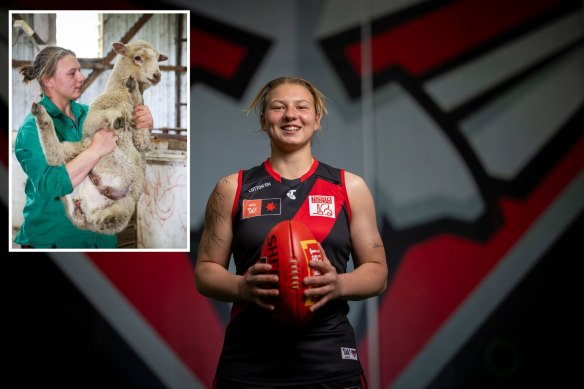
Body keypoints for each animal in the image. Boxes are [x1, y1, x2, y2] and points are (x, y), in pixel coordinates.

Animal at [31, 38, 168, 233]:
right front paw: (118, 115)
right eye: (138, 57)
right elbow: (107, 115)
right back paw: (41, 114)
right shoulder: (92, 121)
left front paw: (133, 94)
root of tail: (85, 208)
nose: (157, 76)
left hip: (123, 193)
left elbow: (141, 134)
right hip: (87, 147)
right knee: (55, 156)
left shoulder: (139, 138)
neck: (119, 94)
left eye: (158, 59)